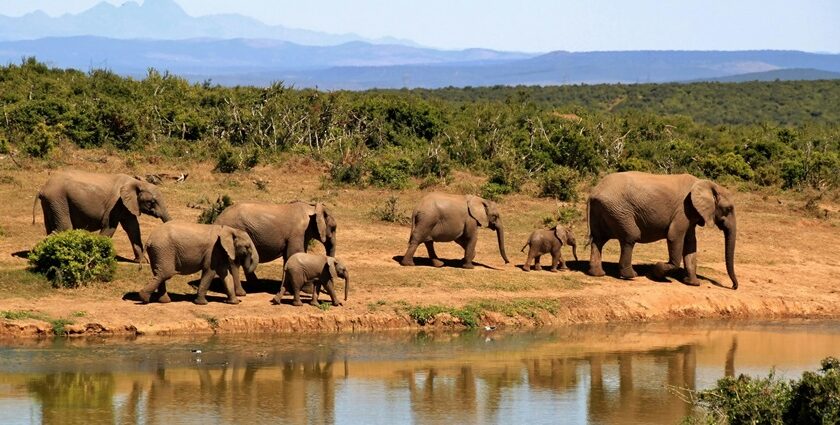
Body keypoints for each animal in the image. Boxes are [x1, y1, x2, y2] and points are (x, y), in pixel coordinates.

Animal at [33, 170, 171, 262]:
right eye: (152, 202)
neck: (136, 182)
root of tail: (42, 188)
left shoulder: (127, 205)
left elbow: (133, 228)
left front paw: (141, 262)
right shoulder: (116, 204)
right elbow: (110, 227)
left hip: (51, 203)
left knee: (52, 228)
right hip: (58, 200)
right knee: (64, 228)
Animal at [588, 171, 740, 288]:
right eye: (728, 209)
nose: (733, 286)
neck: (706, 184)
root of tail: (594, 192)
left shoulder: (691, 214)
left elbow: (691, 244)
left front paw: (693, 283)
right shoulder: (683, 210)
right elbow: (674, 237)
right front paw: (656, 271)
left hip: (604, 210)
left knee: (598, 239)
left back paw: (597, 274)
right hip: (619, 211)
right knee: (630, 237)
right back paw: (631, 275)